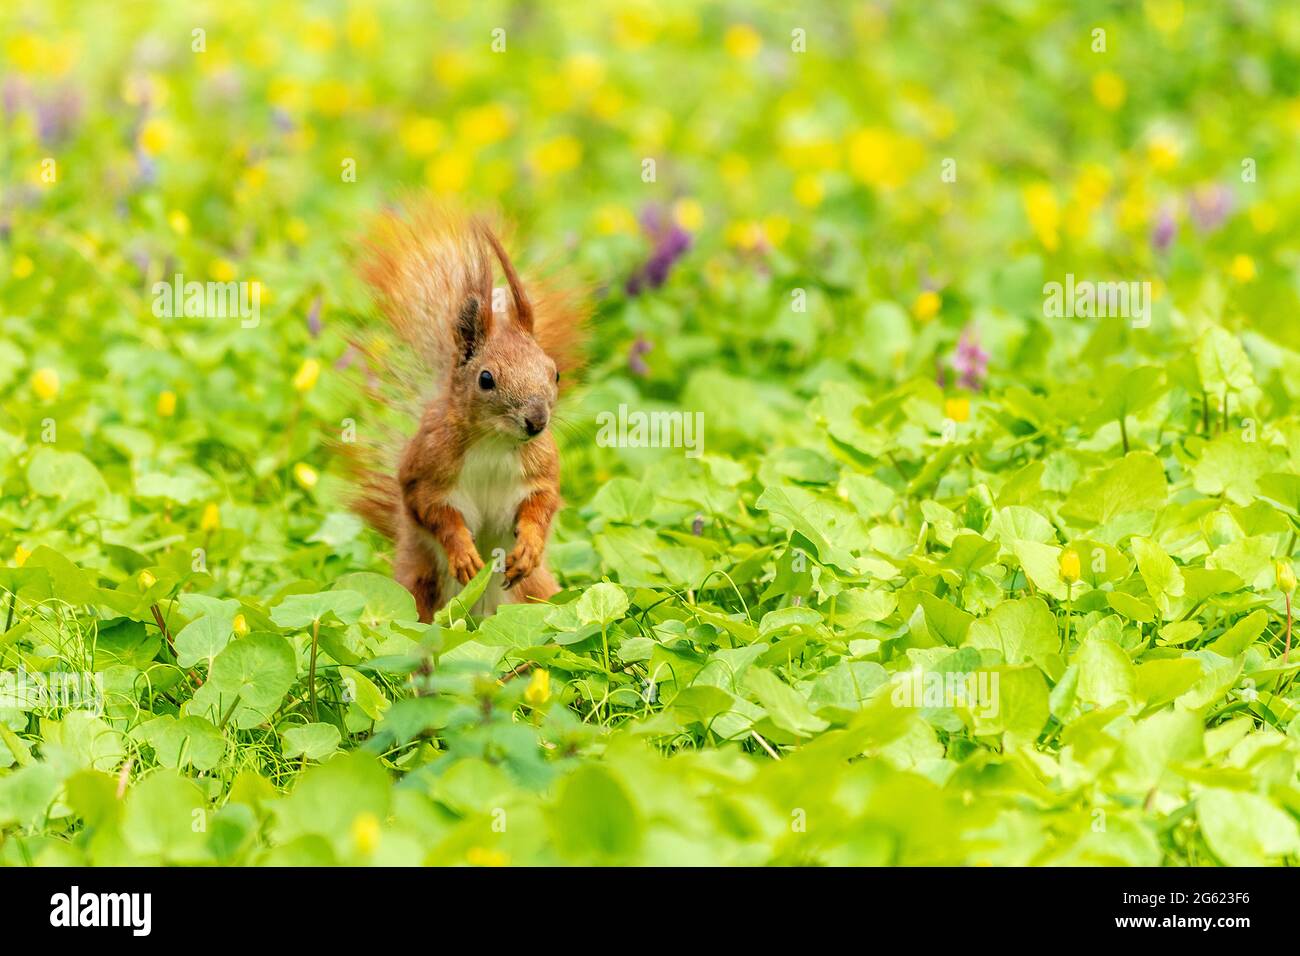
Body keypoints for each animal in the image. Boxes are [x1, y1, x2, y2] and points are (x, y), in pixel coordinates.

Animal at [345, 202, 587, 622]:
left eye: (554, 372)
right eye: (486, 379)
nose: (537, 421)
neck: (494, 442)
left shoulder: (541, 470)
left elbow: (542, 505)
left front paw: (528, 548)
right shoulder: (427, 471)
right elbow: (434, 512)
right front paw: (463, 554)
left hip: (538, 594)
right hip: (418, 588)